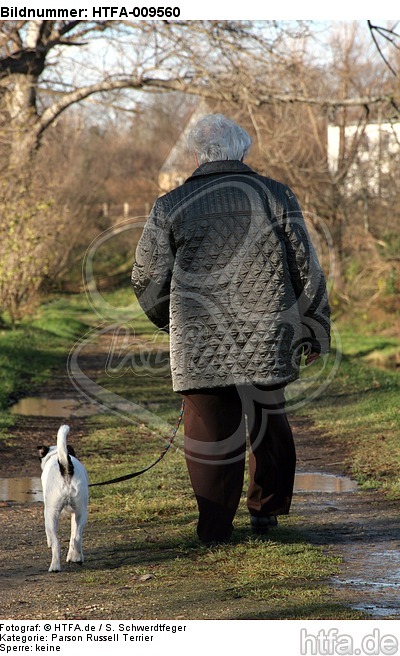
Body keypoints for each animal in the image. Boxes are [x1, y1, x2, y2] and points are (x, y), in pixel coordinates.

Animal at [37, 428, 88, 572]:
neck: (55, 455)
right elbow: (73, 534)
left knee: (56, 543)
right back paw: (77, 558)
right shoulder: (74, 514)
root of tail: (65, 465)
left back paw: (55, 566)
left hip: (50, 514)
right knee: (77, 537)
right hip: (81, 512)